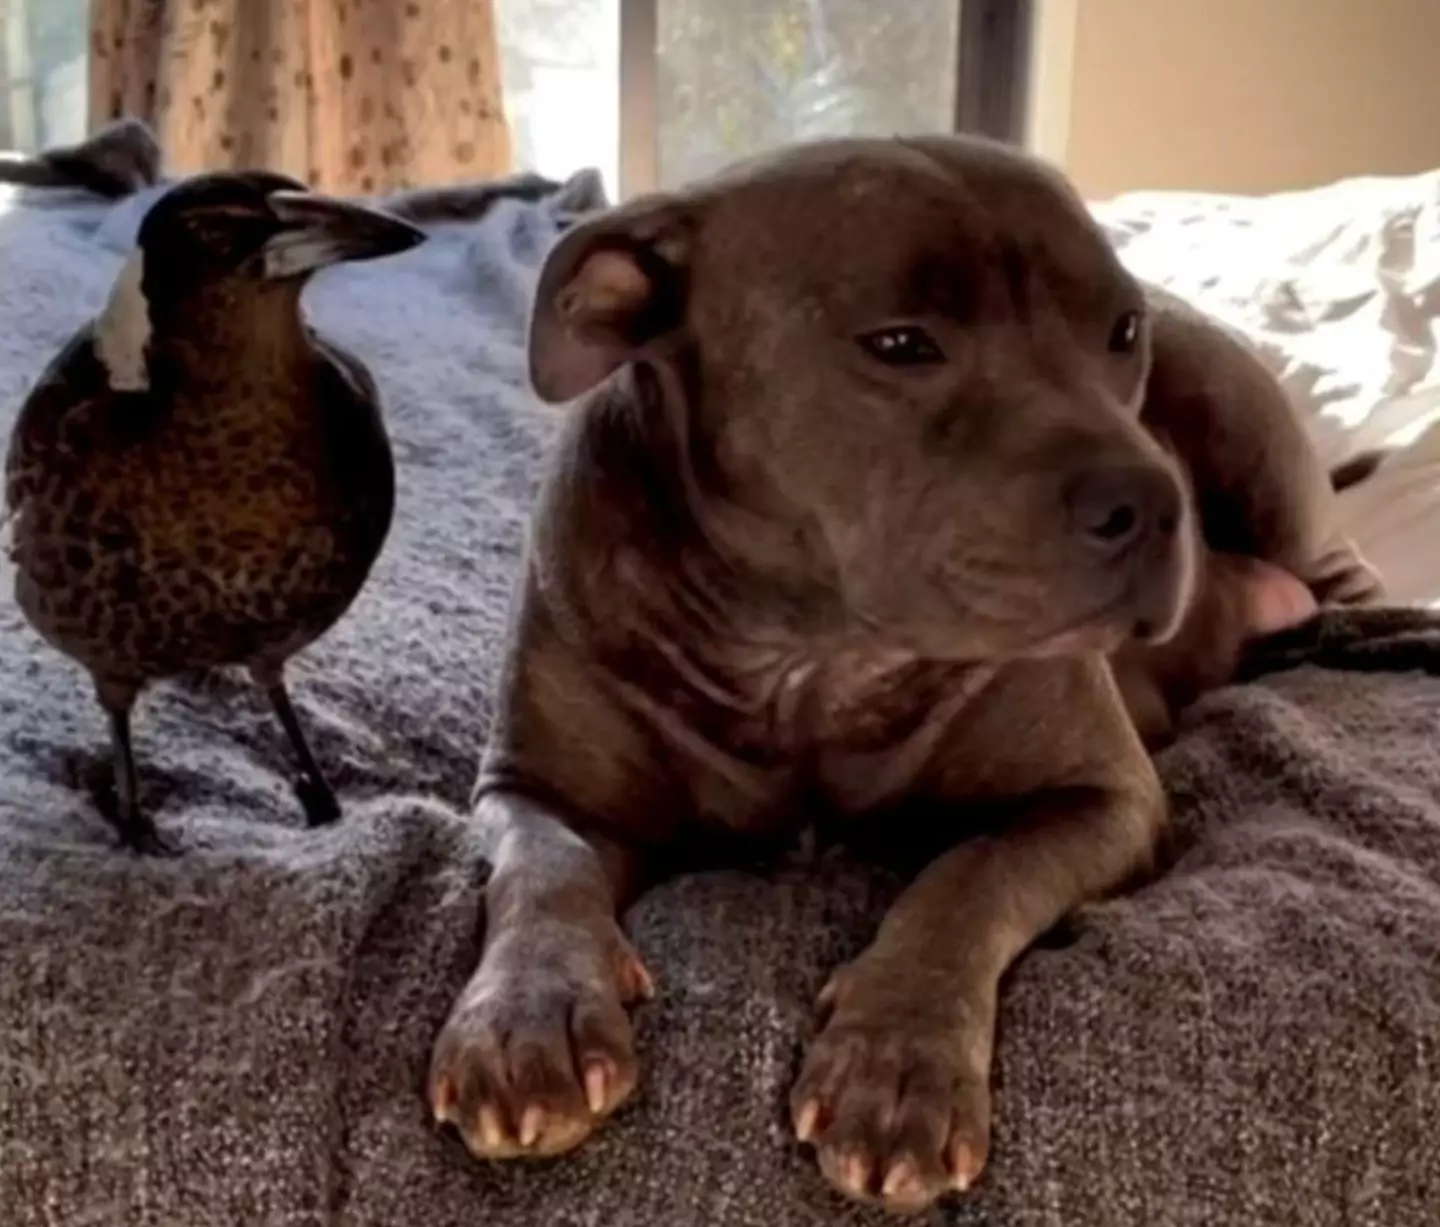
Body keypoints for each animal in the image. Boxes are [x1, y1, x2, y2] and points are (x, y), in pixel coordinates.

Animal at [423, 138, 1370, 1215]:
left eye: (1120, 330)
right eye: (902, 344)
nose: (1153, 498)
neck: (805, 657)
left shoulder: (1104, 797)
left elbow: (966, 877)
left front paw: (898, 1062)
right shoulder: (532, 788)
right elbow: (544, 872)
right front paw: (523, 1014)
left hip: (1249, 432)